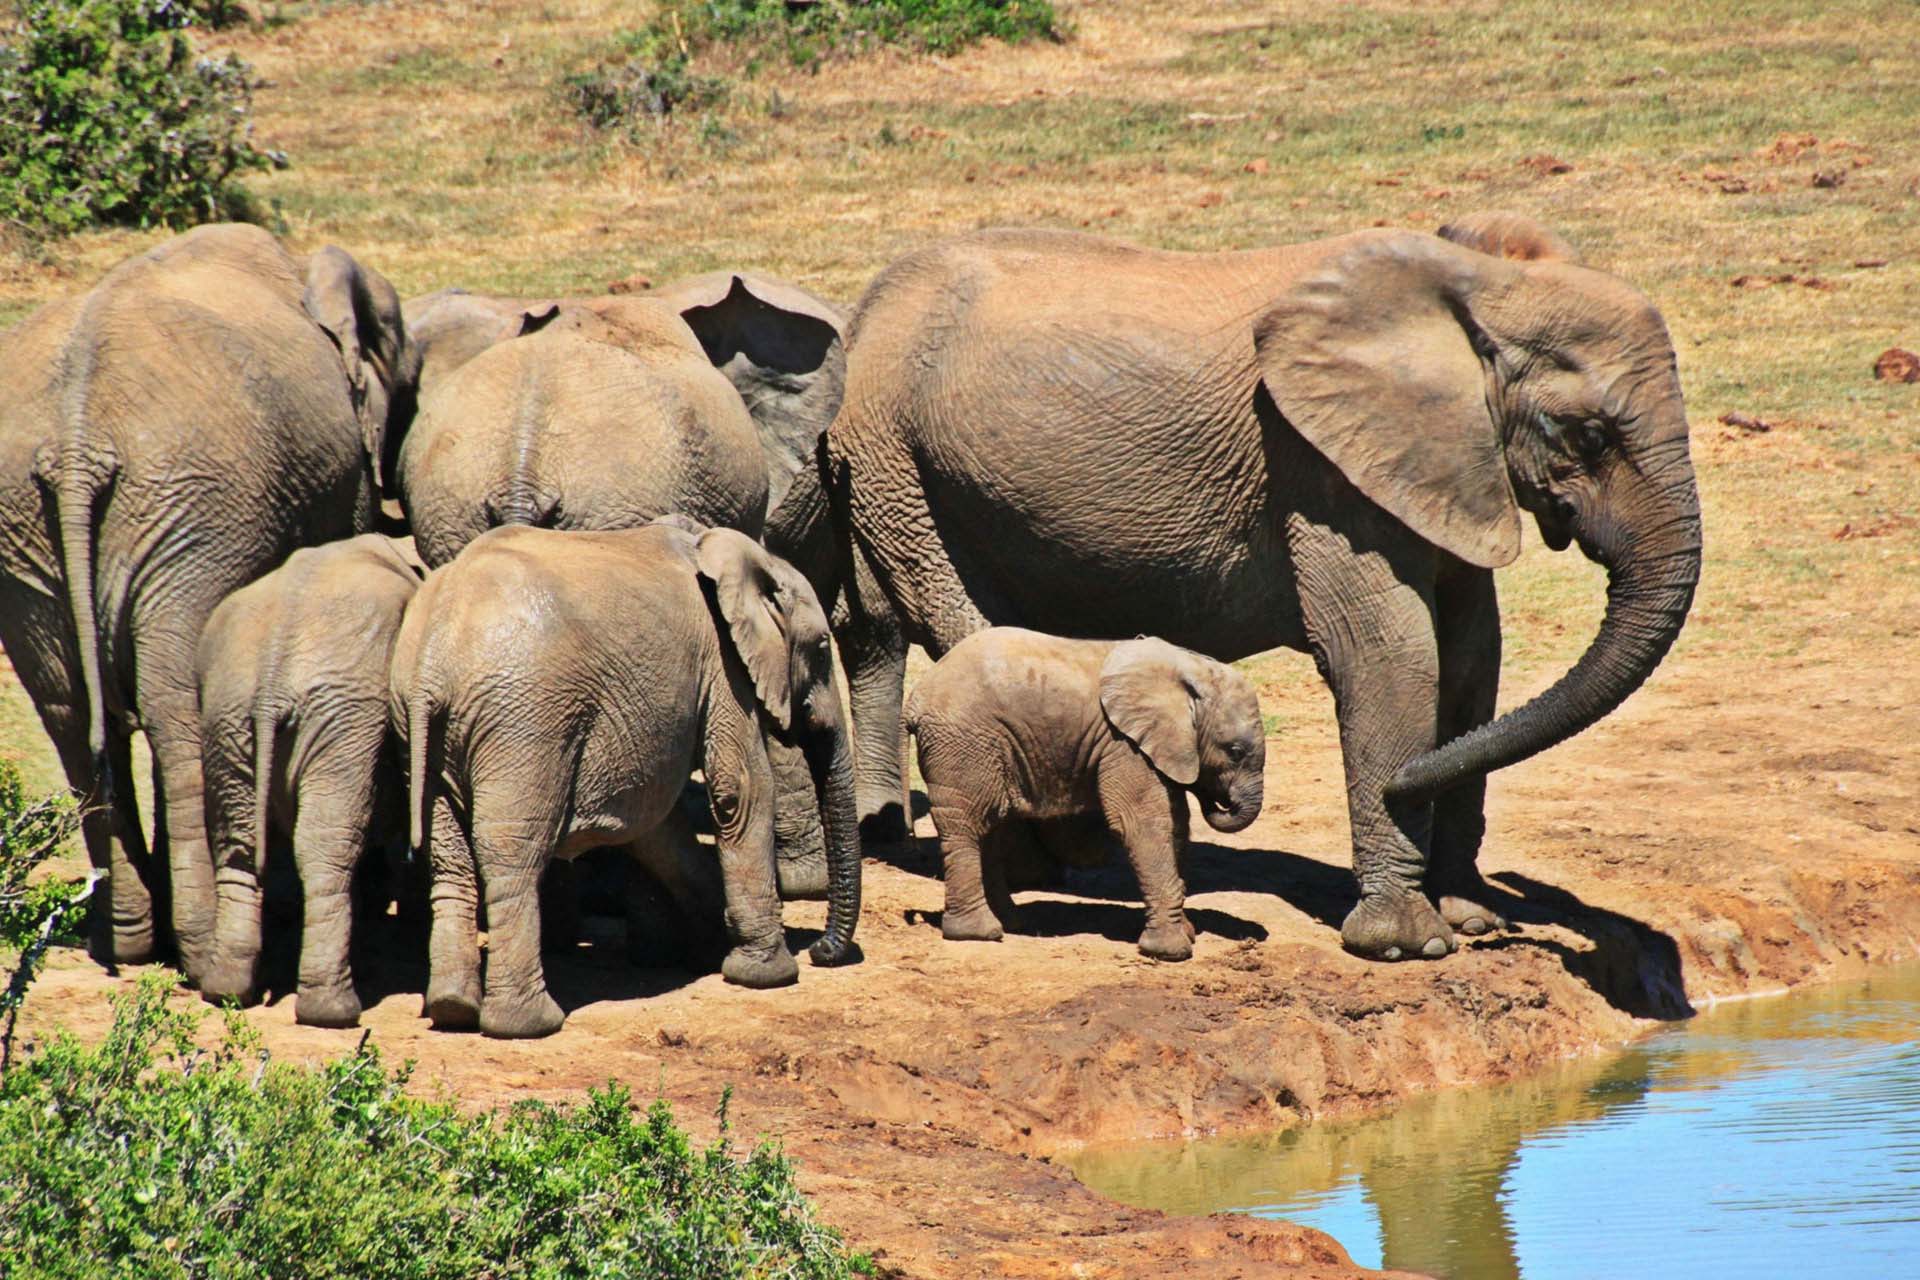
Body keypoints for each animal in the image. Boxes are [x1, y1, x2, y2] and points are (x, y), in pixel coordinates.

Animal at [0, 225, 418, 974]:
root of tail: (74, 445)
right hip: (194, 514)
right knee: (175, 710)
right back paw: (199, 949)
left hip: (35, 530)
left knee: (71, 714)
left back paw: (129, 940)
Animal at [192, 537, 422, 1028]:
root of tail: (271, 683)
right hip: (343, 720)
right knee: (326, 850)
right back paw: (333, 1011)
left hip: (226, 714)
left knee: (238, 845)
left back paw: (226, 991)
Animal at [393, 521, 860, 1043]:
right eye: (823, 649)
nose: (821, 951)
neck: (742, 555)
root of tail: (431, 663)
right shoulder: (723, 664)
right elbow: (740, 791)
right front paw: (768, 976)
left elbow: (656, 825)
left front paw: (708, 950)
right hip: (524, 725)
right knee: (512, 856)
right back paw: (528, 1025)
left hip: (423, 729)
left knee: (449, 860)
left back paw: (451, 1009)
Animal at [906, 629, 1267, 959]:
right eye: (1234, 752)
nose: (1219, 800)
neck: (1191, 669)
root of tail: (916, 698)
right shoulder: (1124, 745)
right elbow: (1143, 824)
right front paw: (1171, 952)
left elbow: (1176, 824)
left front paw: (1187, 932)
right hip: (962, 744)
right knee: (968, 826)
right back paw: (980, 933)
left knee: (990, 828)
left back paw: (1011, 923)